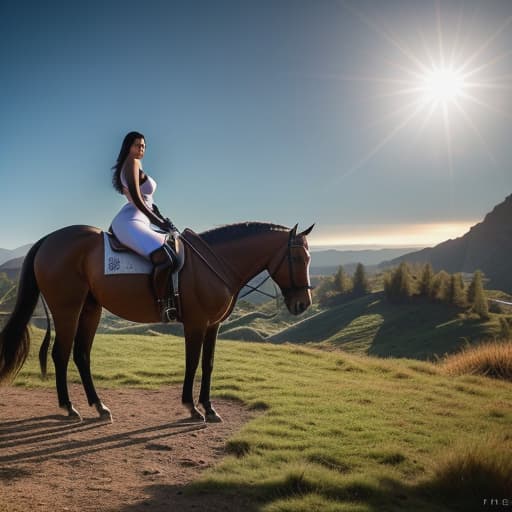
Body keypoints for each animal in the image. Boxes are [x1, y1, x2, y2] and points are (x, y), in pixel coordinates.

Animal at [0, 222, 314, 422]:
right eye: (299, 258)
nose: (304, 304)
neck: (213, 262)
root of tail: (49, 240)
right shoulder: (196, 323)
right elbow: (192, 362)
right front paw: (192, 407)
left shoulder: (213, 325)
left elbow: (209, 364)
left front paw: (210, 408)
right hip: (68, 309)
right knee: (61, 354)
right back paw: (68, 407)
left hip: (91, 309)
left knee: (81, 355)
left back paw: (99, 406)